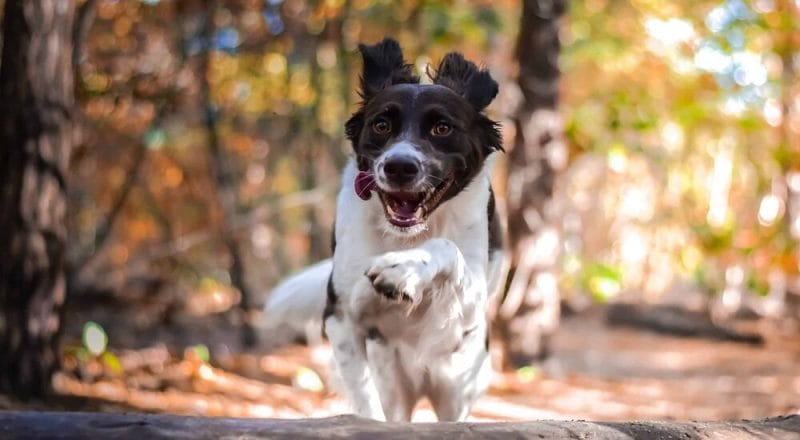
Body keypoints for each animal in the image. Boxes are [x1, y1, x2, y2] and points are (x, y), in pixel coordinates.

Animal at [268, 38, 506, 422]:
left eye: (442, 128)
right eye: (381, 125)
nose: (399, 166)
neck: (406, 236)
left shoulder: (469, 308)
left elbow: (446, 248)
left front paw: (403, 270)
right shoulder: (342, 316)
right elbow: (365, 397)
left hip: (459, 382)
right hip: (394, 378)